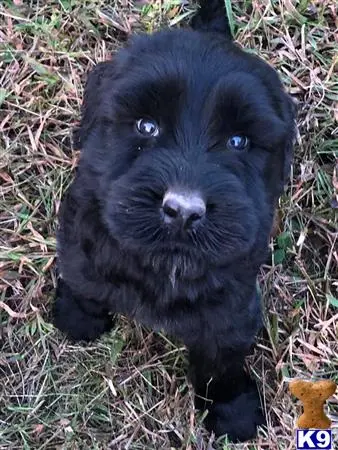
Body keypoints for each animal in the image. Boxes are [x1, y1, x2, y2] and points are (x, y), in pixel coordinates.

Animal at [53, 0, 296, 442]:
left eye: (239, 141)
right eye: (146, 126)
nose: (183, 210)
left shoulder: (232, 304)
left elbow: (222, 356)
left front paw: (232, 409)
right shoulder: (83, 233)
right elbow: (83, 275)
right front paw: (78, 317)